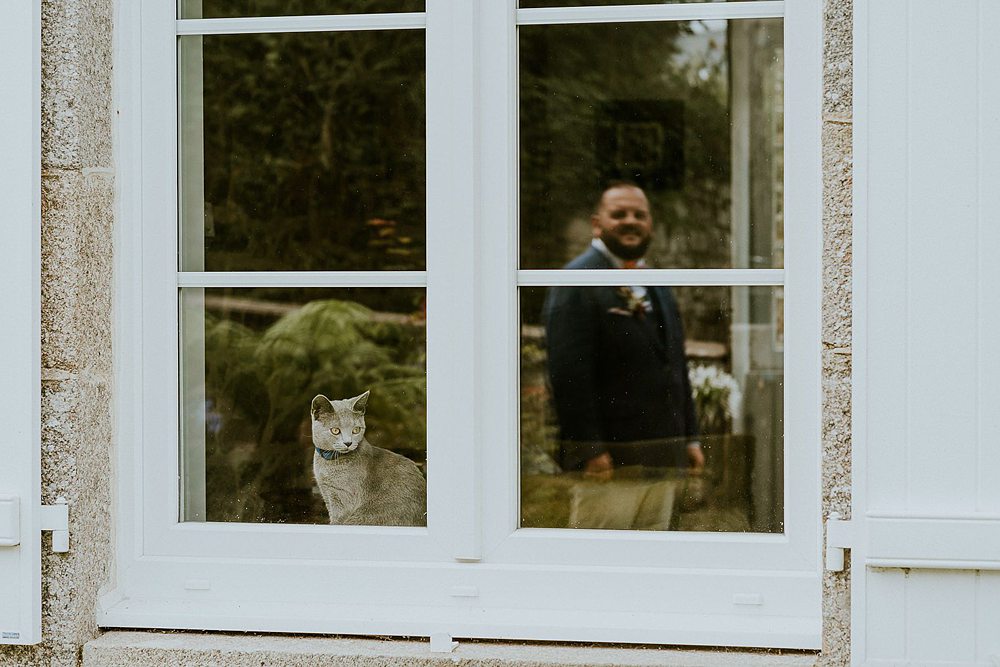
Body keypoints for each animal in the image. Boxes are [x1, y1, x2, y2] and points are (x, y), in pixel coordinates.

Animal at [308, 392, 426, 528]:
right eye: (335, 430)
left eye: (356, 430)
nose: (348, 443)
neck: (329, 462)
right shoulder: (327, 494)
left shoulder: (343, 498)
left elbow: (337, 521)